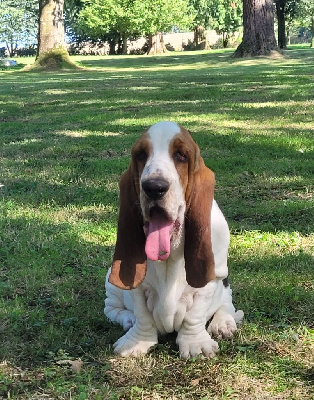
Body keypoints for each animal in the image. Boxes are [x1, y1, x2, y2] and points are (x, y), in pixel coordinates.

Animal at [104, 120, 244, 358]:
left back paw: (223, 323)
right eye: (141, 154)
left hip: (224, 279)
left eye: (181, 155)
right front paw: (137, 342)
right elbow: (142, 314)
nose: (154, 187)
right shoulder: (135, 286)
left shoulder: (210, 280)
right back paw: (128, 320)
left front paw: (196, 344)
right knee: (113, 309)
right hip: (110, 283)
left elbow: (195, 315)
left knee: (226, 302)